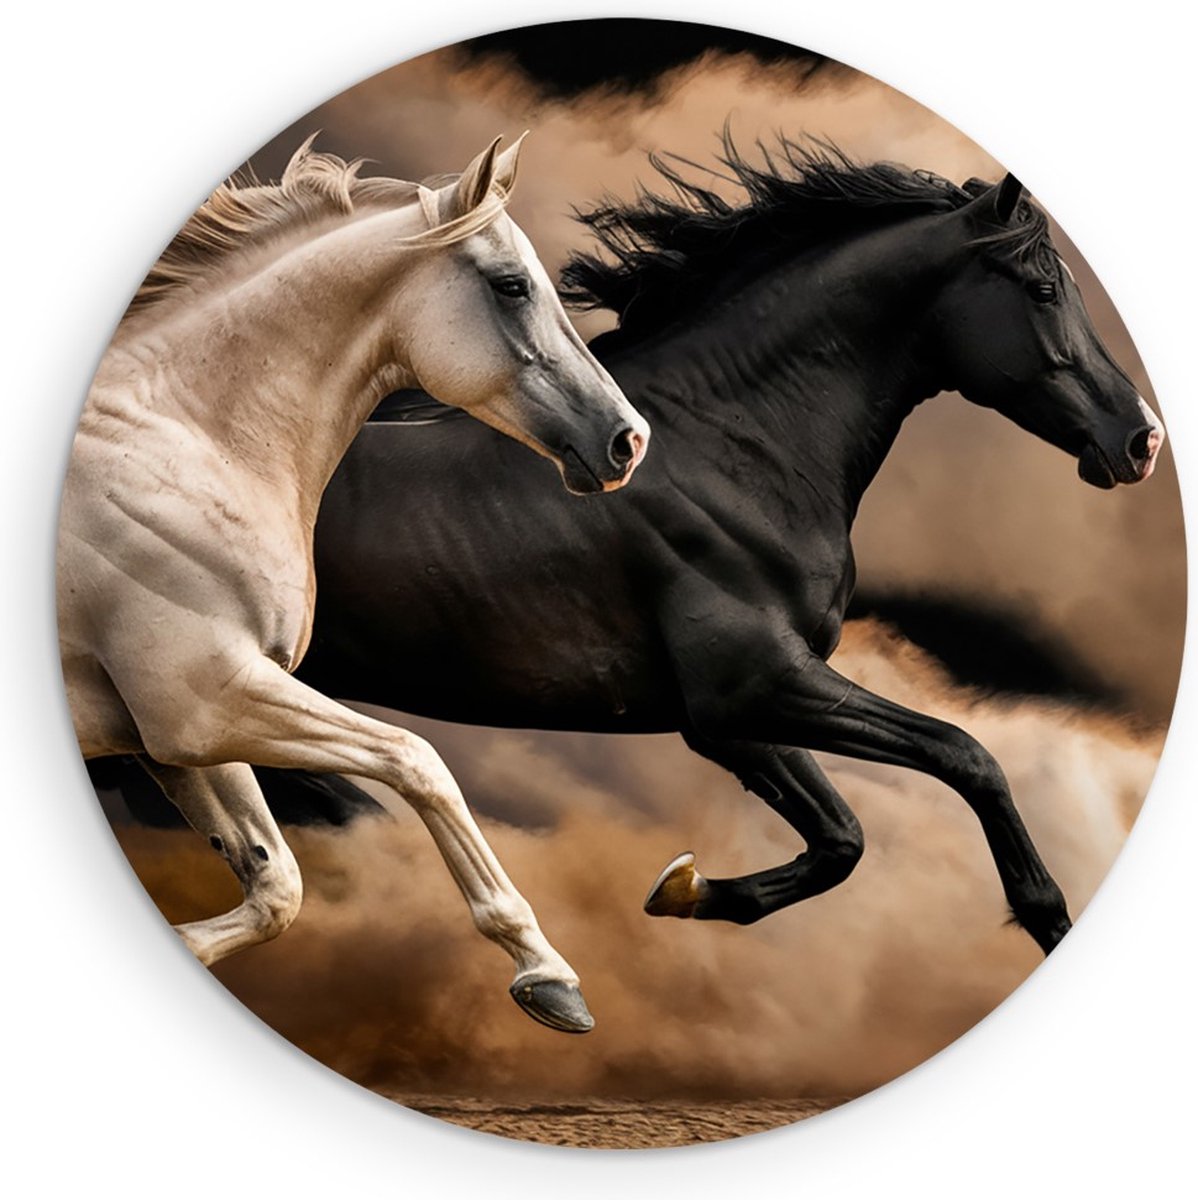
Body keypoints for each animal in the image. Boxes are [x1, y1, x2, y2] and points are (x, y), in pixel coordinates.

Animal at [58, 133, 650, 1035]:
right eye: (511, 285)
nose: (628, 441)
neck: (180, 439)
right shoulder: (206, 700)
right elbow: (417, 759)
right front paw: (548, 976)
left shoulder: (178, 731)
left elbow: (275, 886)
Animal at [252, 140, 1161, 961]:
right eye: (1044, 288)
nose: (1141, 440)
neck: (728, 446)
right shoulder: (753, 686)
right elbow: (968, 757)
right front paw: (1048, 917)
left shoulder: (729, 718)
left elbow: (841, 838)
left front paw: (684, 890)